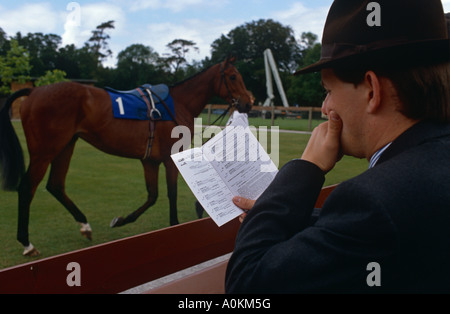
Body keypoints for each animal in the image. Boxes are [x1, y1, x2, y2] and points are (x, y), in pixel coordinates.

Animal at [0, 57, 253, 258]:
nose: (248, 102)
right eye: (232, 76)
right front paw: (174, 224)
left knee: (55, 185)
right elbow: (170, 193)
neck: (178, 103)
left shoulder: (150, 160)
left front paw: (121, 220)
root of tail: (34, 91)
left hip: (65, 146)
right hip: (44, 151)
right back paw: (27, 243)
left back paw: (84, 225)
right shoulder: (170, 157)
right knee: (27, 188)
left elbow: (152, 195)